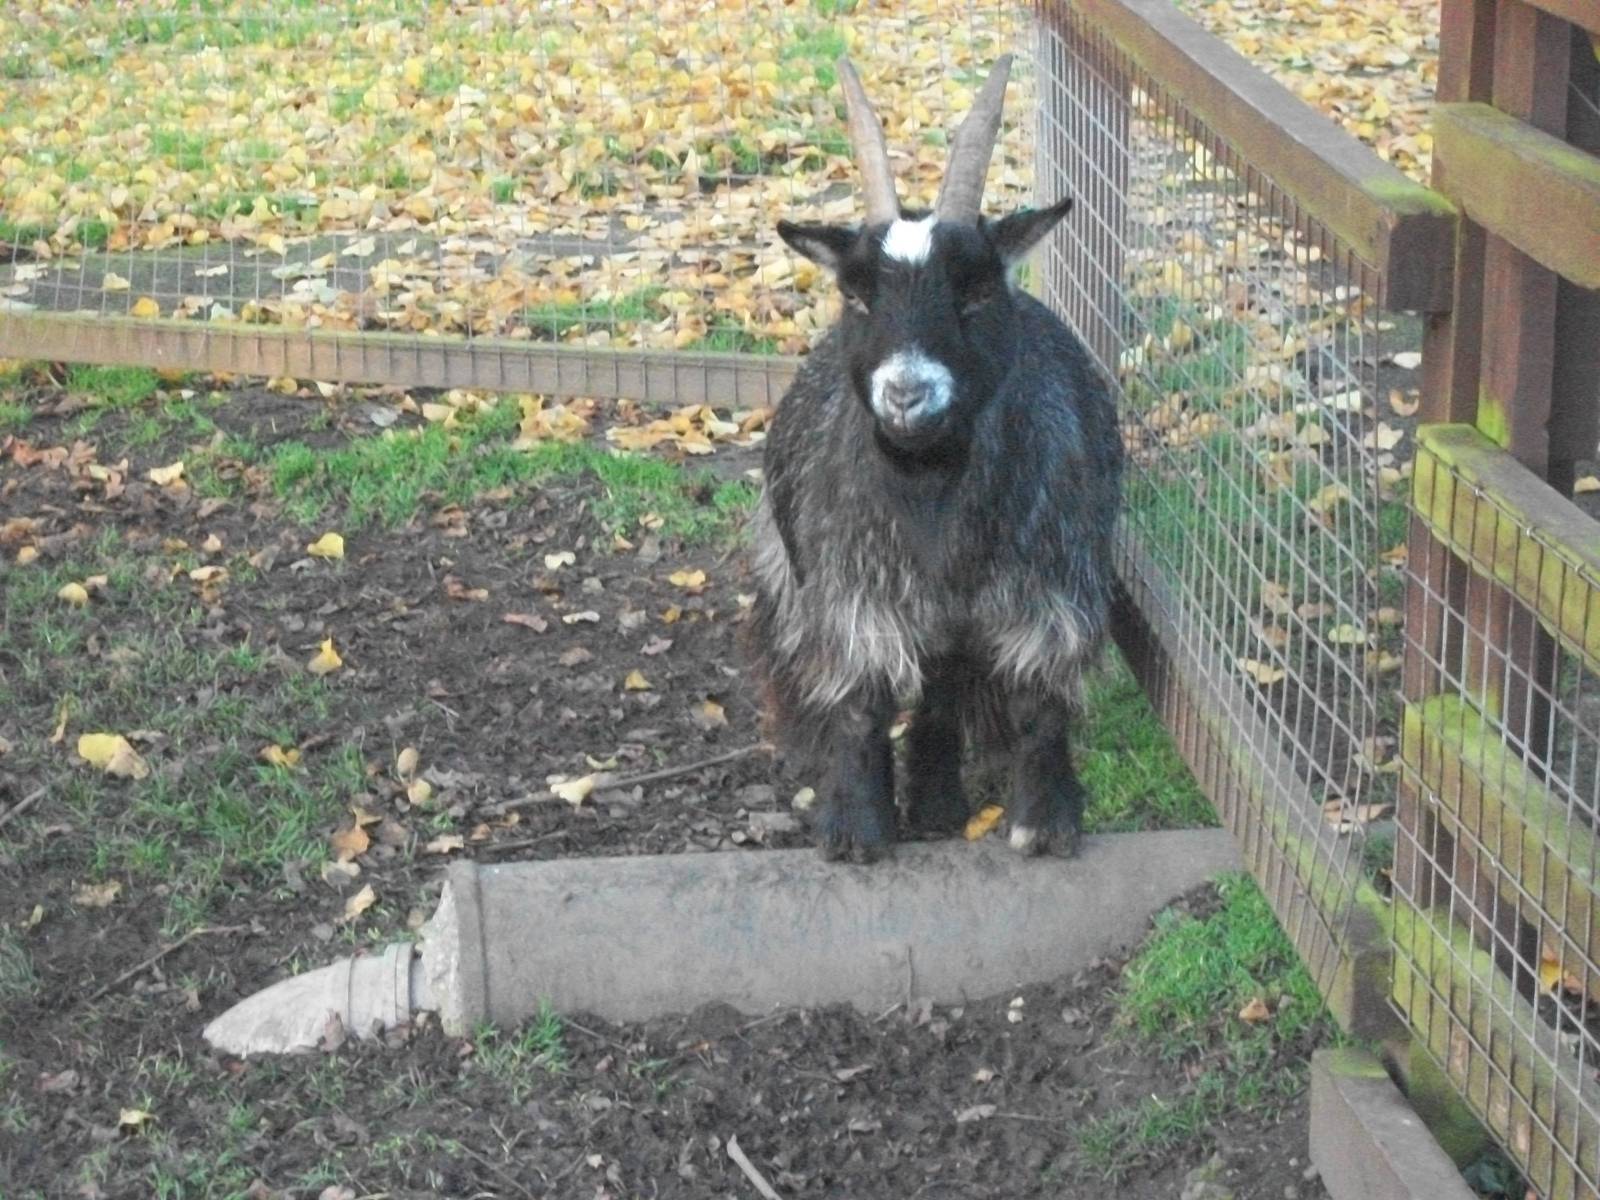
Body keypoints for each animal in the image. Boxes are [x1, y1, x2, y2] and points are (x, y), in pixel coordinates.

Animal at [744, 55, 1124, 862]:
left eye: (977, 291)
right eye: (856, 297)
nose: (907, 394)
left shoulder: (1054, 588)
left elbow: (1042, 699)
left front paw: (1044, 820)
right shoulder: (851, 593)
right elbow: (861, 700)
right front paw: (857, 828)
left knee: (947, 684)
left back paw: (939, 797)